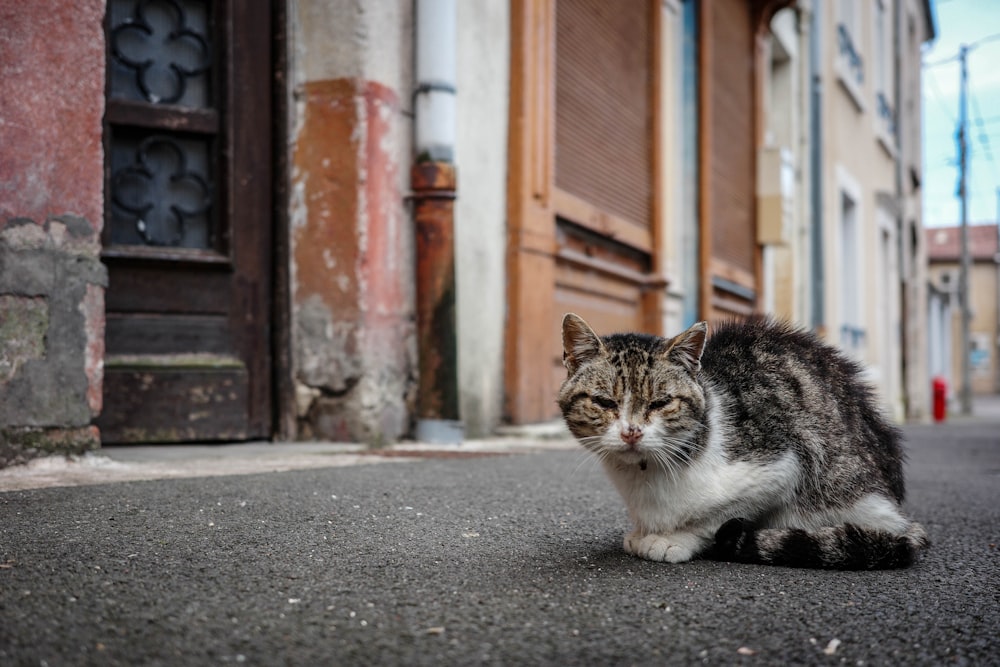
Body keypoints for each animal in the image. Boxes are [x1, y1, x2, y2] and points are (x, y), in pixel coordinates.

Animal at [564, 314, 928, 568]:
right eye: (604, 402)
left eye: (660, 403)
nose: (631, 431)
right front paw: (643, 533)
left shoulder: (784, 465)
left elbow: (716, 518)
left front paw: (674, 539)